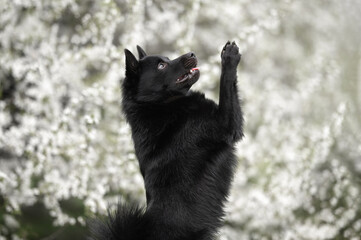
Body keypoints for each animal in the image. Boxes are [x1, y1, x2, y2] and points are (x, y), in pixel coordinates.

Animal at [90, 42, 242, 239]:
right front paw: (229, 57)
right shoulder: (226, 124)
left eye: (168, 59)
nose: (192, 53)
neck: (159, 105)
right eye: (161, 66)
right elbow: (227, 84)